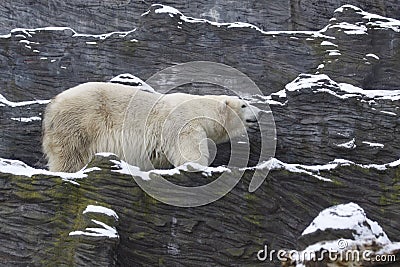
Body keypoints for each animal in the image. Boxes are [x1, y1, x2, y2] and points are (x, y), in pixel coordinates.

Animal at [42, 82, 260, 173]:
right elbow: (189, 149)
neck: (201, 109)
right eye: (243, 105)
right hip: (80, 121)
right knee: (71, 154)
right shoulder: (183, 124)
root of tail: (53, 104)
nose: (258, 114)